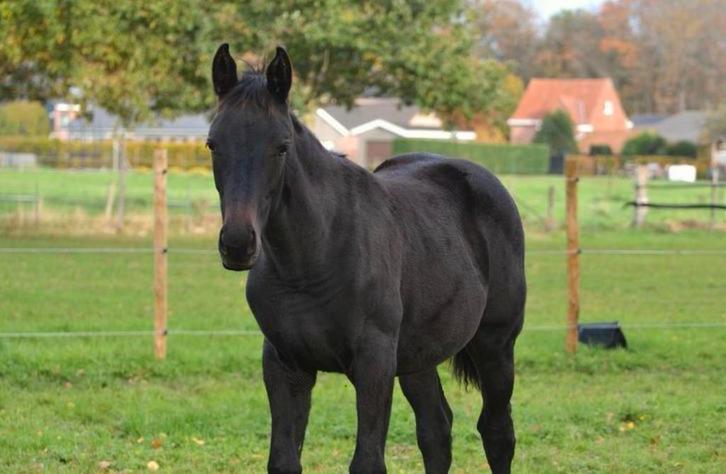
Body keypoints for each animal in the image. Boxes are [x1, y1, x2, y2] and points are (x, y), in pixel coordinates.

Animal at [208, 44, 526, 474]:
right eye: (213, 144)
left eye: (281, 146)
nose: (238, 244)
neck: (310, 262)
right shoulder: (285, 365)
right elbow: (284, 460)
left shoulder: (374, 364)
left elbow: (368, 461)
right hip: (418, 356)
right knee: (436, 431)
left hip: (495, 345)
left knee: (496, 432)